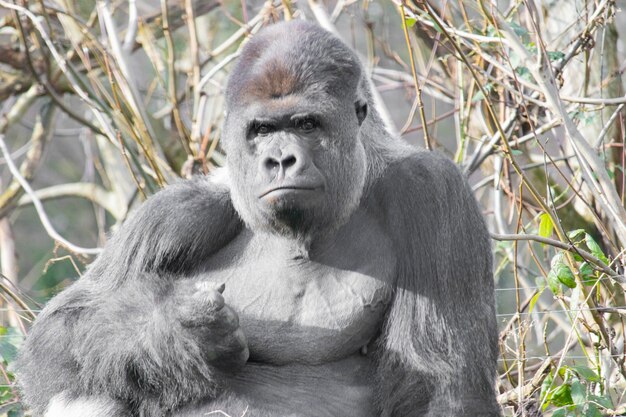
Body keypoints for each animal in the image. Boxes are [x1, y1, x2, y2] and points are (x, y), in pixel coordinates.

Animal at [15, 20, 498, 416]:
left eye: (306, 124)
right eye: (262, 130)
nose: (280, 160)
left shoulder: (432, 191)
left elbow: (444, 389)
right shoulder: (177, 212)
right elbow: (60, 331)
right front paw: (176, 333)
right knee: (90, 386)